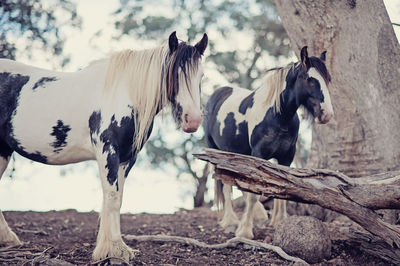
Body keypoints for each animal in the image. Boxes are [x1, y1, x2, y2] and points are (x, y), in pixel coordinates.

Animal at [0, 31, 209, 262]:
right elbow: (111, 197)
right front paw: (114, 249)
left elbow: (118, 199)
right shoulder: (107, 152)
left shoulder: (127, 158)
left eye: (201, 76)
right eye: (174, 73)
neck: (124, 94)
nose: (193, 120)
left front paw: (114, 247)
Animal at [205, 46, 332, 239]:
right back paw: (231, 222)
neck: (277, 116)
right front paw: (244, 231)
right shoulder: (259, 155)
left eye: (327, 79)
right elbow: (253, 194)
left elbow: (284, 189)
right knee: (226, 187)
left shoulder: (286, 157)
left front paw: (279, 222)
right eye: (310, 80)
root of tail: (218, 93)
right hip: (217, 152)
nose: (327, 114)